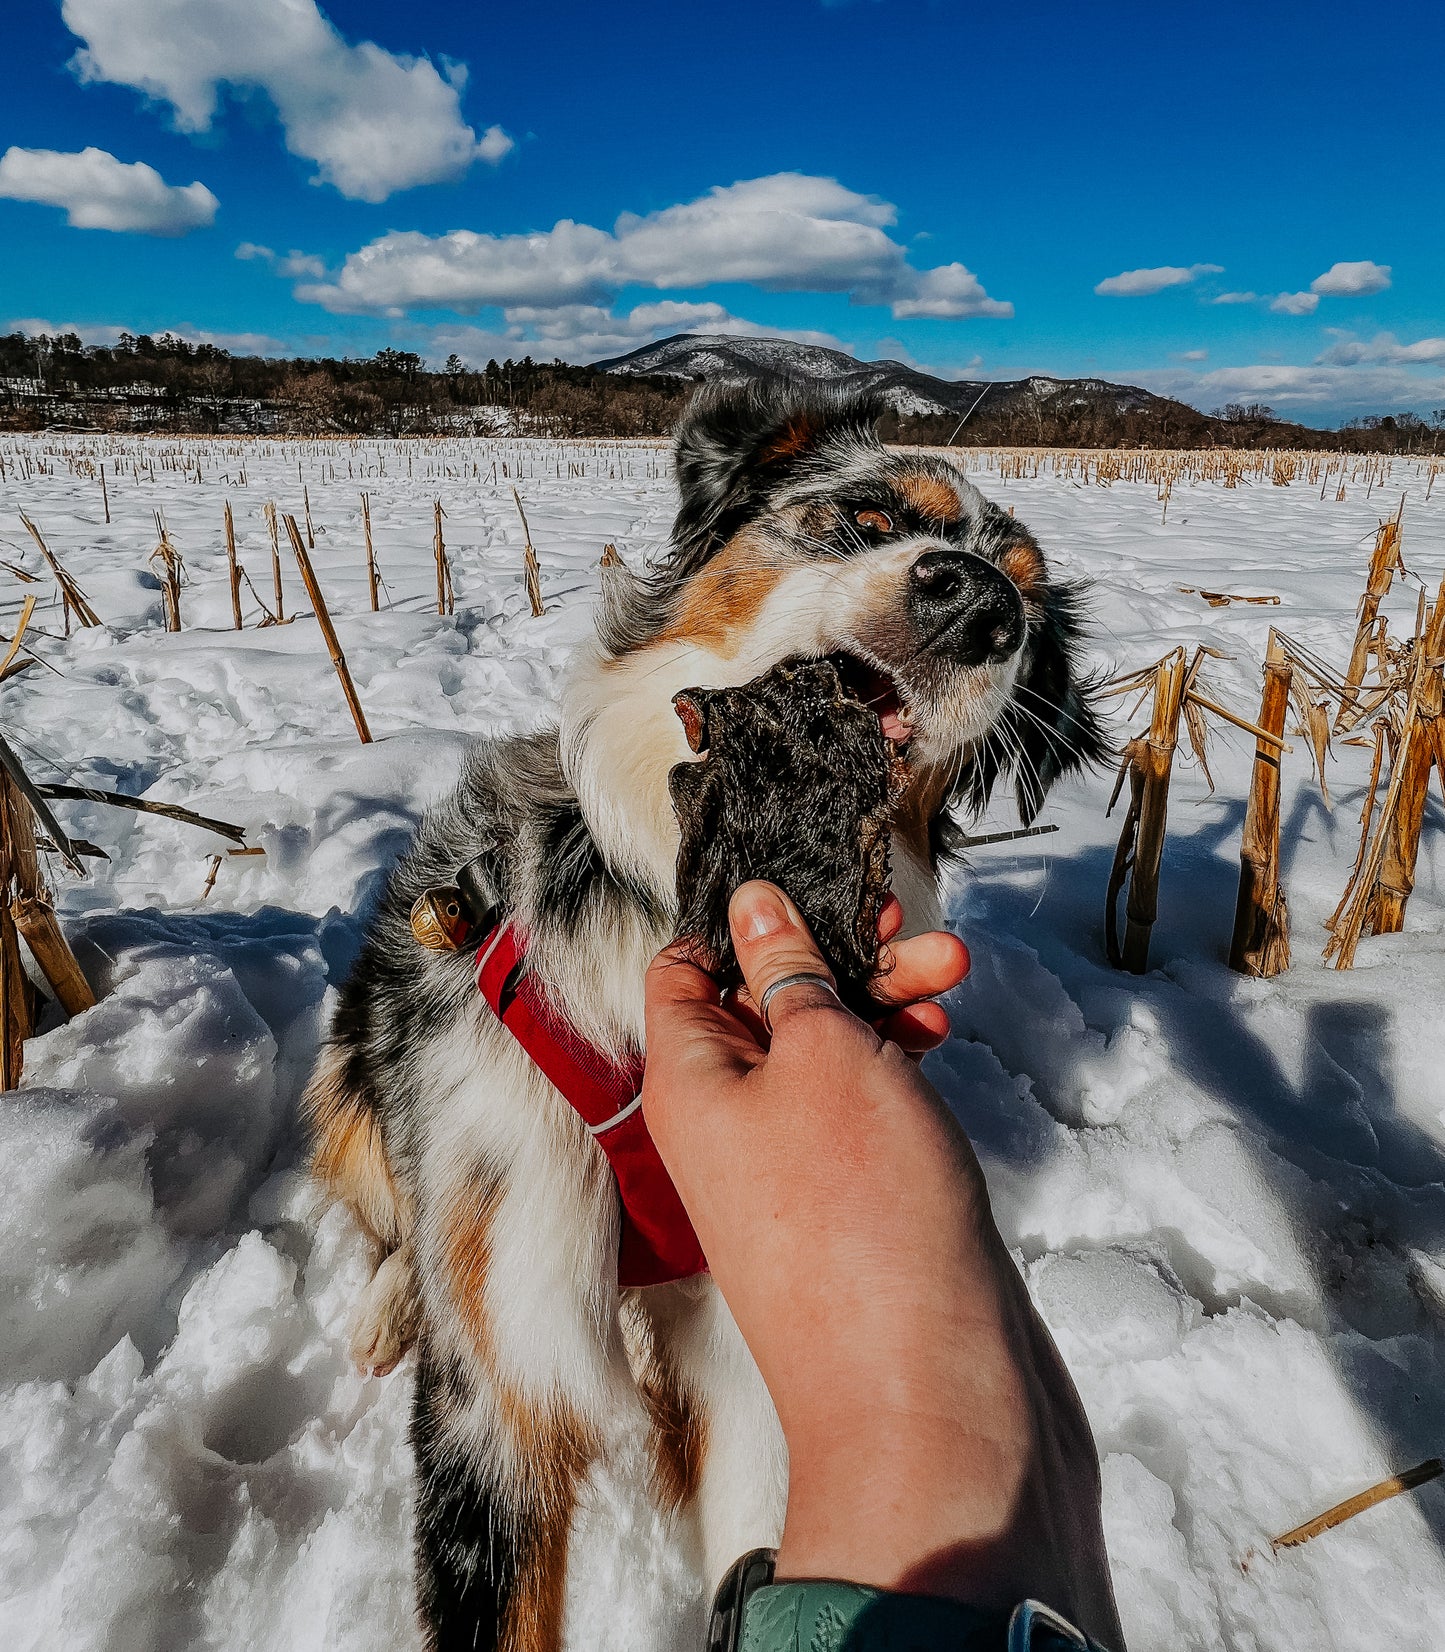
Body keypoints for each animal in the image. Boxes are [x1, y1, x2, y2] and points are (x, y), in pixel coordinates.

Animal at [298, 383, 1103, 1652]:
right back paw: (390, 1301)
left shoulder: (754, 1367)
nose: (979, 602)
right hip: (354, 1058)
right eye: (867, 514)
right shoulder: (503, 1375)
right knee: (389, 1200)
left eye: (1023, 602)